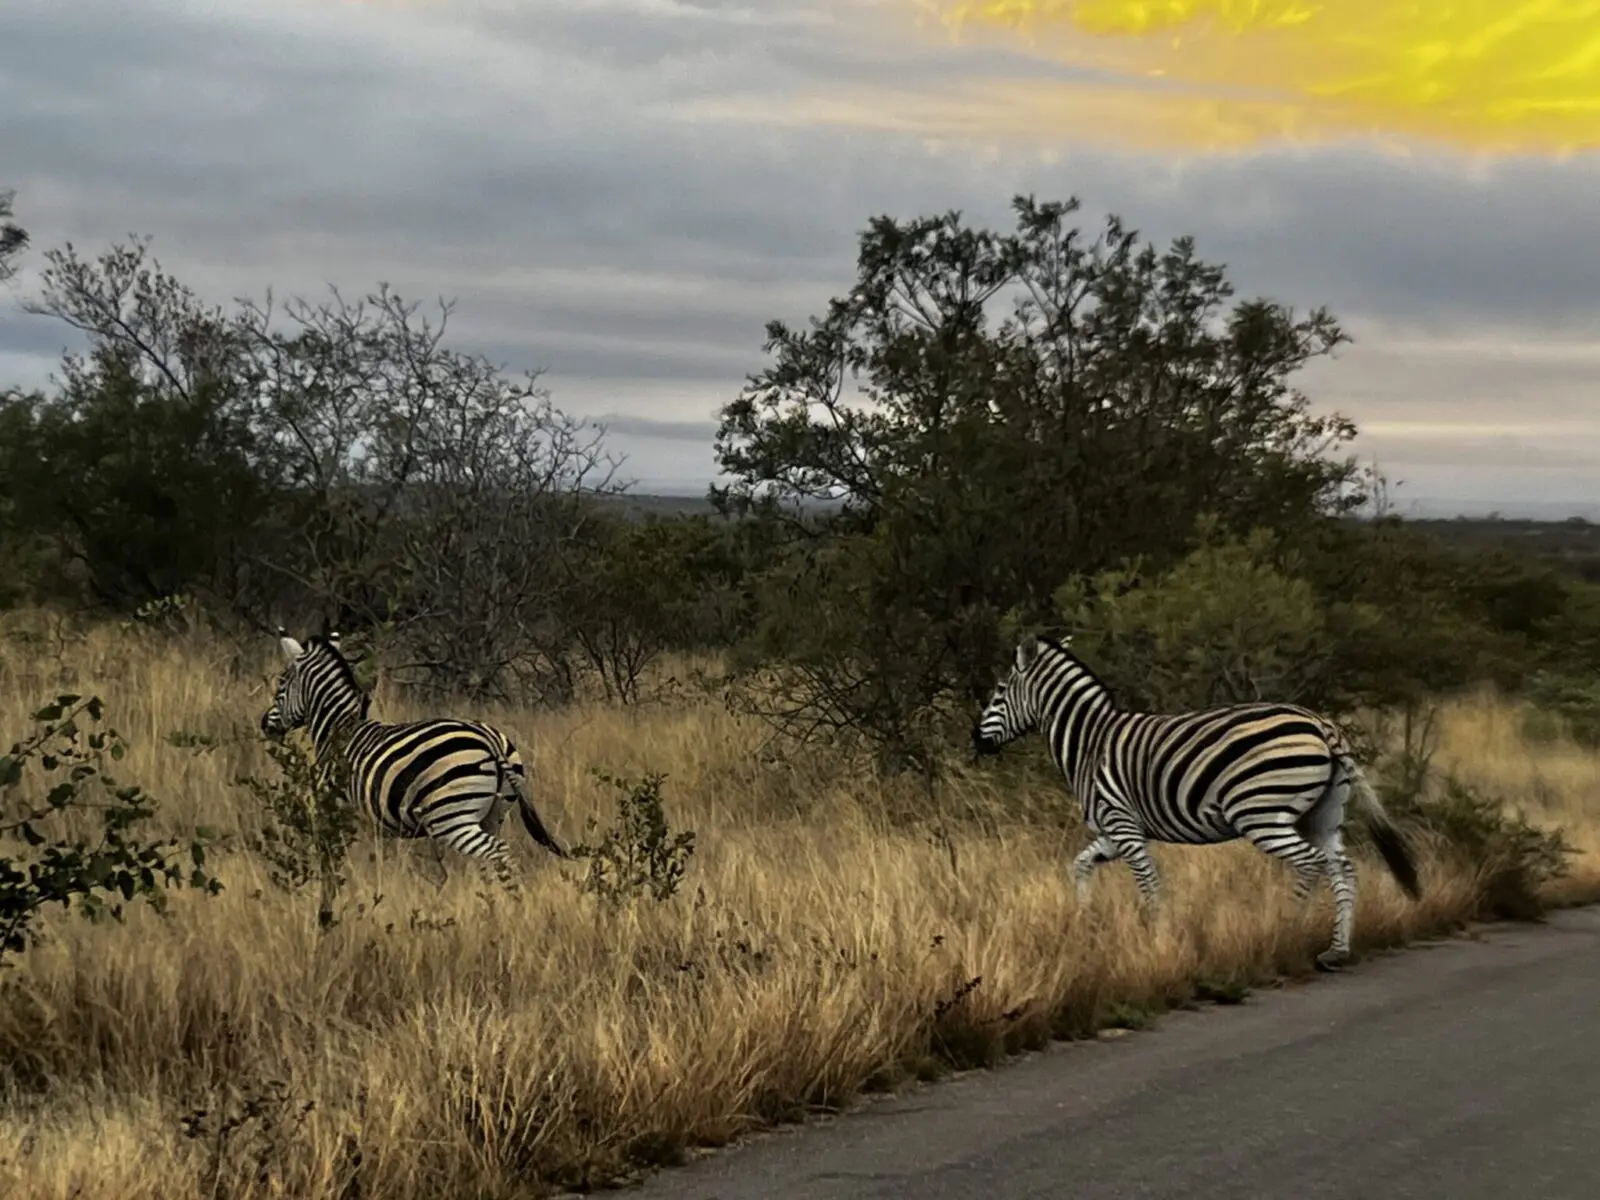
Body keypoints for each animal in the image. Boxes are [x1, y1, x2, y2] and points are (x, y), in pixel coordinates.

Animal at [259, 628, 569, 886]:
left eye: (281, 685)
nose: (264, 724)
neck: (340, 728)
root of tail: (489, 738)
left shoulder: (338, 808)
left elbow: (346, 858)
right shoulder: (372, 823)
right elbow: (379, 858)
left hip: (451, 817)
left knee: (498, 852)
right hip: (495, 813)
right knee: (492, 859)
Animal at [972, 633, 1422, 971]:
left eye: (998, 692)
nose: (976, 741)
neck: (1089, 743)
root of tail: (1322, 725)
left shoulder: (1123, 824)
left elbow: (1148, 883)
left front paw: (1158, 942)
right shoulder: (1113, 832)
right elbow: (1080, 865)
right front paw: (1084, 923)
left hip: (1260, 814)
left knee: (1310, 863)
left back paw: (1286, 932)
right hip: (1322, 815)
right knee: (1344, 869)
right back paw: (1337, 950)